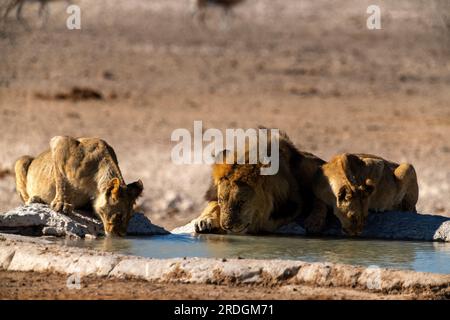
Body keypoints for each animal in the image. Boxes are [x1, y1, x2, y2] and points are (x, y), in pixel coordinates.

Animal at [14, 136, 143, 236]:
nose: (122, 235)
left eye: (130, 217)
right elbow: (61, 178)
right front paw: (61, 204)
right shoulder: (60, 142)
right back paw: (35, 199)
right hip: (22, 161)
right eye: (118, 216)